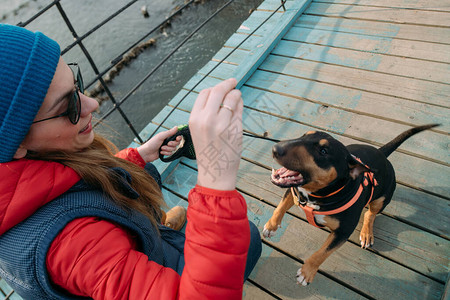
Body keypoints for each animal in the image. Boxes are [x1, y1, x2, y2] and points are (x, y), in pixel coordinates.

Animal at [264, 123, 440, 286]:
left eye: (323, 151)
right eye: (304, 135)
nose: (275, 148)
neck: (317, 195)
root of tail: (381, 153)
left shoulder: (343, 232)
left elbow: (323, 253)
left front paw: (307, 273)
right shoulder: (294, 191)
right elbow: (280, 207)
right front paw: (271, 227)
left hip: (382, 198)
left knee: (370, 213)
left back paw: (367, 233)